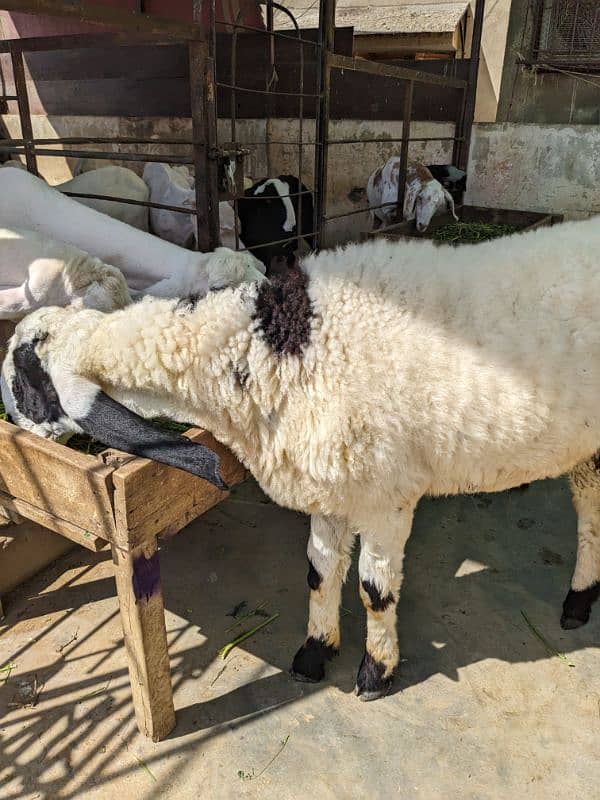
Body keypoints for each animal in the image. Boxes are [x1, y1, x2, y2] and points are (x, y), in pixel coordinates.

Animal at [4, 217, 600, 700]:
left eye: (26, 382)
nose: (15, 427)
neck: (279, 338)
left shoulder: (386, 494)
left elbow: (375, 590)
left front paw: (375, 672)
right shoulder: (328, 483)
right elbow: (319, 572)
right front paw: (315, 653)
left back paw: (577, 602)